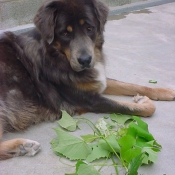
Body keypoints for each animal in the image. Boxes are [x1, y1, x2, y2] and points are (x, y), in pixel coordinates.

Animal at [0, 0, 175, 160]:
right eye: (65, 33)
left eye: (89, 29)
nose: (85, 61)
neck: (56, 56)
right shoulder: (90, 100)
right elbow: (130, 107)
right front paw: (143, 103)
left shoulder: (97, 80)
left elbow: (130, 85)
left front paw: (165, 91)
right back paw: (23, 146)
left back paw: (22, 147)